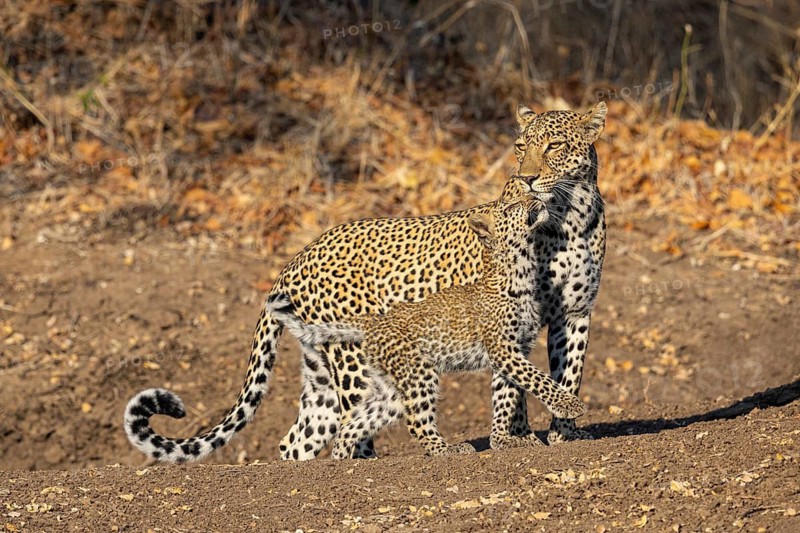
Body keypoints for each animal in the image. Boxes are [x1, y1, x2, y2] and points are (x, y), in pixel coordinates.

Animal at [267, 192, 586, 458]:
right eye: (511, 206)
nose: (534, 197)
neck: (521, 267)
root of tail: (374, 325)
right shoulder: (502, 349)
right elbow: (537, 379)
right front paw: (569, 404)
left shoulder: (517, 347)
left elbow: (507, 395)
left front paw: (503, 440)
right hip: (417, 372)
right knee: (416, 422)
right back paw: (447, 450)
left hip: (390, 389)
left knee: (354, 423)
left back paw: (344, 461)